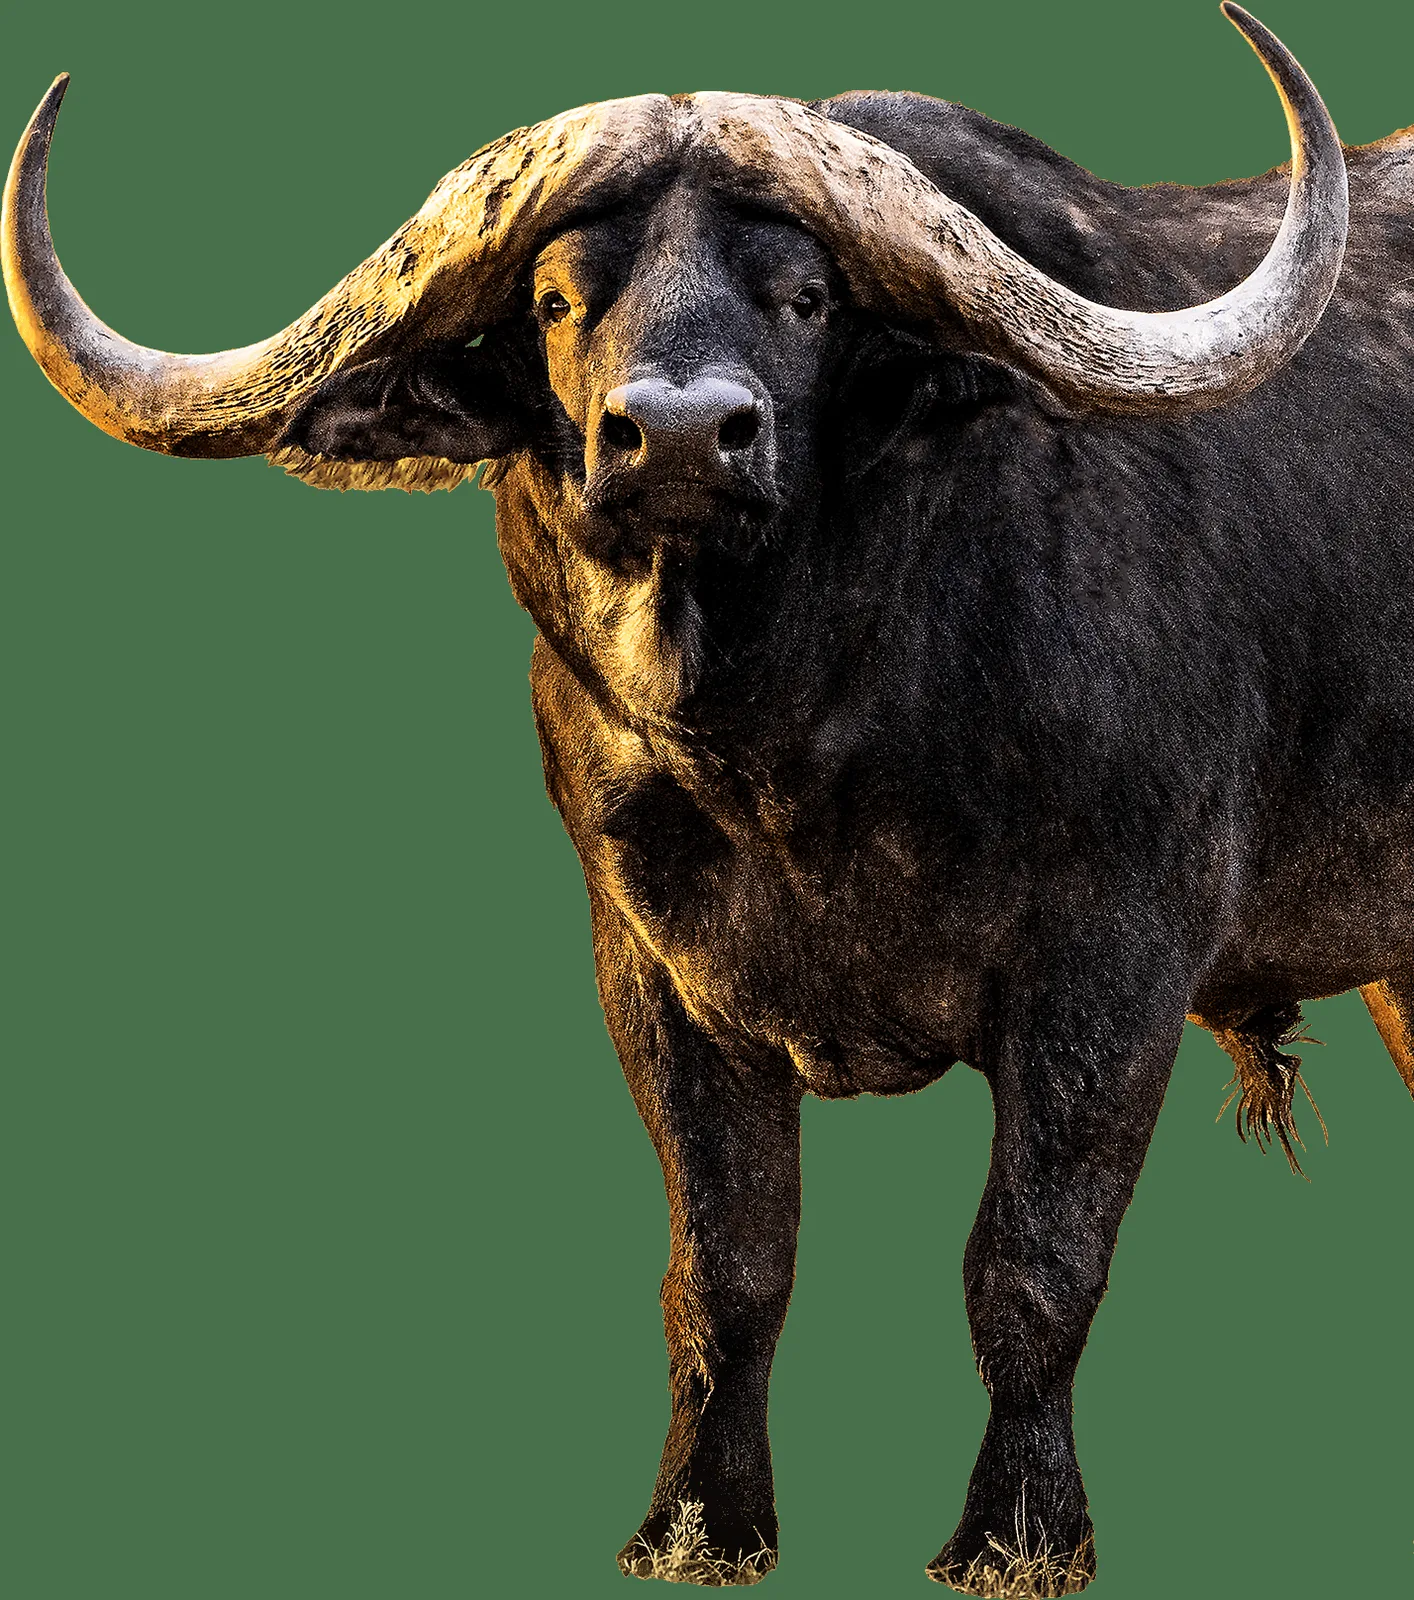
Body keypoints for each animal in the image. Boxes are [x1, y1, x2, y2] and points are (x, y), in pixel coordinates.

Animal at [5, 3, 1412, 1593]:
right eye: (558, 301)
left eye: (805, 297)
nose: (679, 437)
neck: (795, 756)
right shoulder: (654, 973)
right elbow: (726, 1267)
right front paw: (698, 1523)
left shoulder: (1112, 967)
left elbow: (1031, 1264)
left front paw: (1016, 1533)